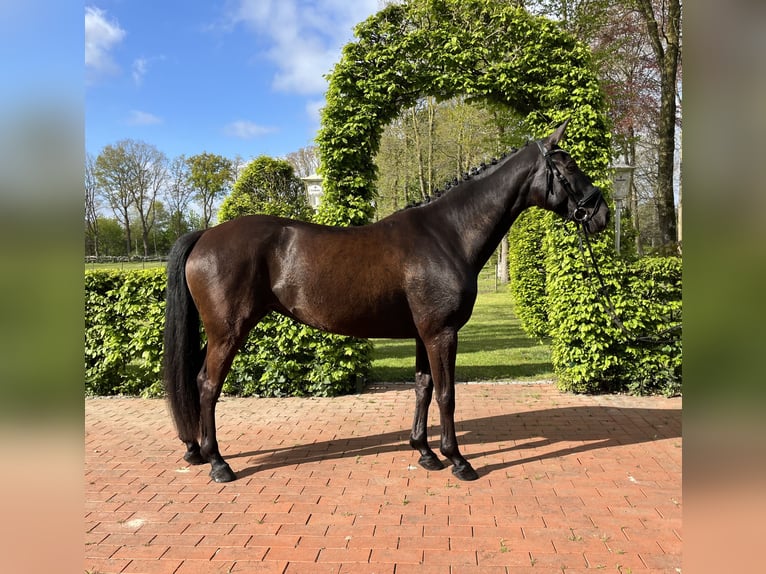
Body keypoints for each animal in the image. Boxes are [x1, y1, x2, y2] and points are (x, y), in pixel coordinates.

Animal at [162, 120, 609, 483]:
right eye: (569, 166)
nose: (601, 213)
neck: (446, 235)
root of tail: (205, 235)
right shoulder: (442, 333)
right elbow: (447, 394)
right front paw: (458, 460)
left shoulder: (424, 334)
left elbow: (423, 387)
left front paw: (425, 453)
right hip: (229, 331)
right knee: (207, 385)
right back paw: (219, 463)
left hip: (218, 332)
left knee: (194, 379)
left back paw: (195, 451)